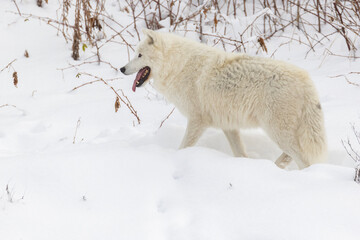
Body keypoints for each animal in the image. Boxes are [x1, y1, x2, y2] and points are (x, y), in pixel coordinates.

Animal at [120, 29, 326, 169]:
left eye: (139, 55)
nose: (122, 68)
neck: (178, 66)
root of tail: (306, 80)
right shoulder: (228, 126)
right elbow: (240, 153)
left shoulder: (197, 121)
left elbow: (183, 147)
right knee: (291, 156)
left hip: (278, 132)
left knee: (304, 160)